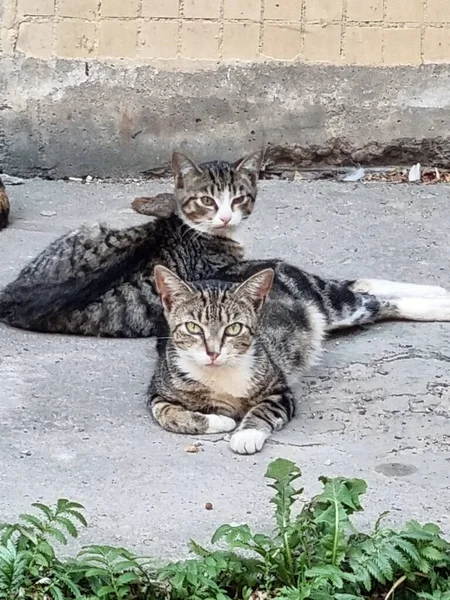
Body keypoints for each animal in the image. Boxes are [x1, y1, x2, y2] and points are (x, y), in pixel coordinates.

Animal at [149, 264, 450, 454]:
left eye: (233, 328)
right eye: (193, 327)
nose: (212, 352)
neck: (218, 375)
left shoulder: (279, 391)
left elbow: (263, 410)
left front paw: (246, 434)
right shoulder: (157, 391)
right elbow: (167, 414)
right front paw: (219, 421)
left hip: (330, 302)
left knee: (375, 301)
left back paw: (439, 303)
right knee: (365, 289)